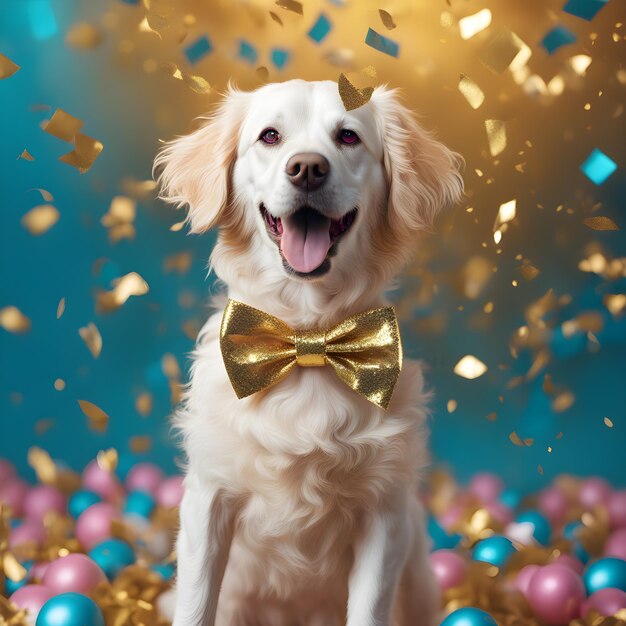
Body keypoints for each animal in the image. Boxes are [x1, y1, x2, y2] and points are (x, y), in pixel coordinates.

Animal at [154, 79, 460, 624]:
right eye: (270, 136)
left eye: (348, 137)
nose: (308, 168)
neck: (306, 338)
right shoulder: (207, 501)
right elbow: (195, 605)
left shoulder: (385, 513)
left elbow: (368, 610)